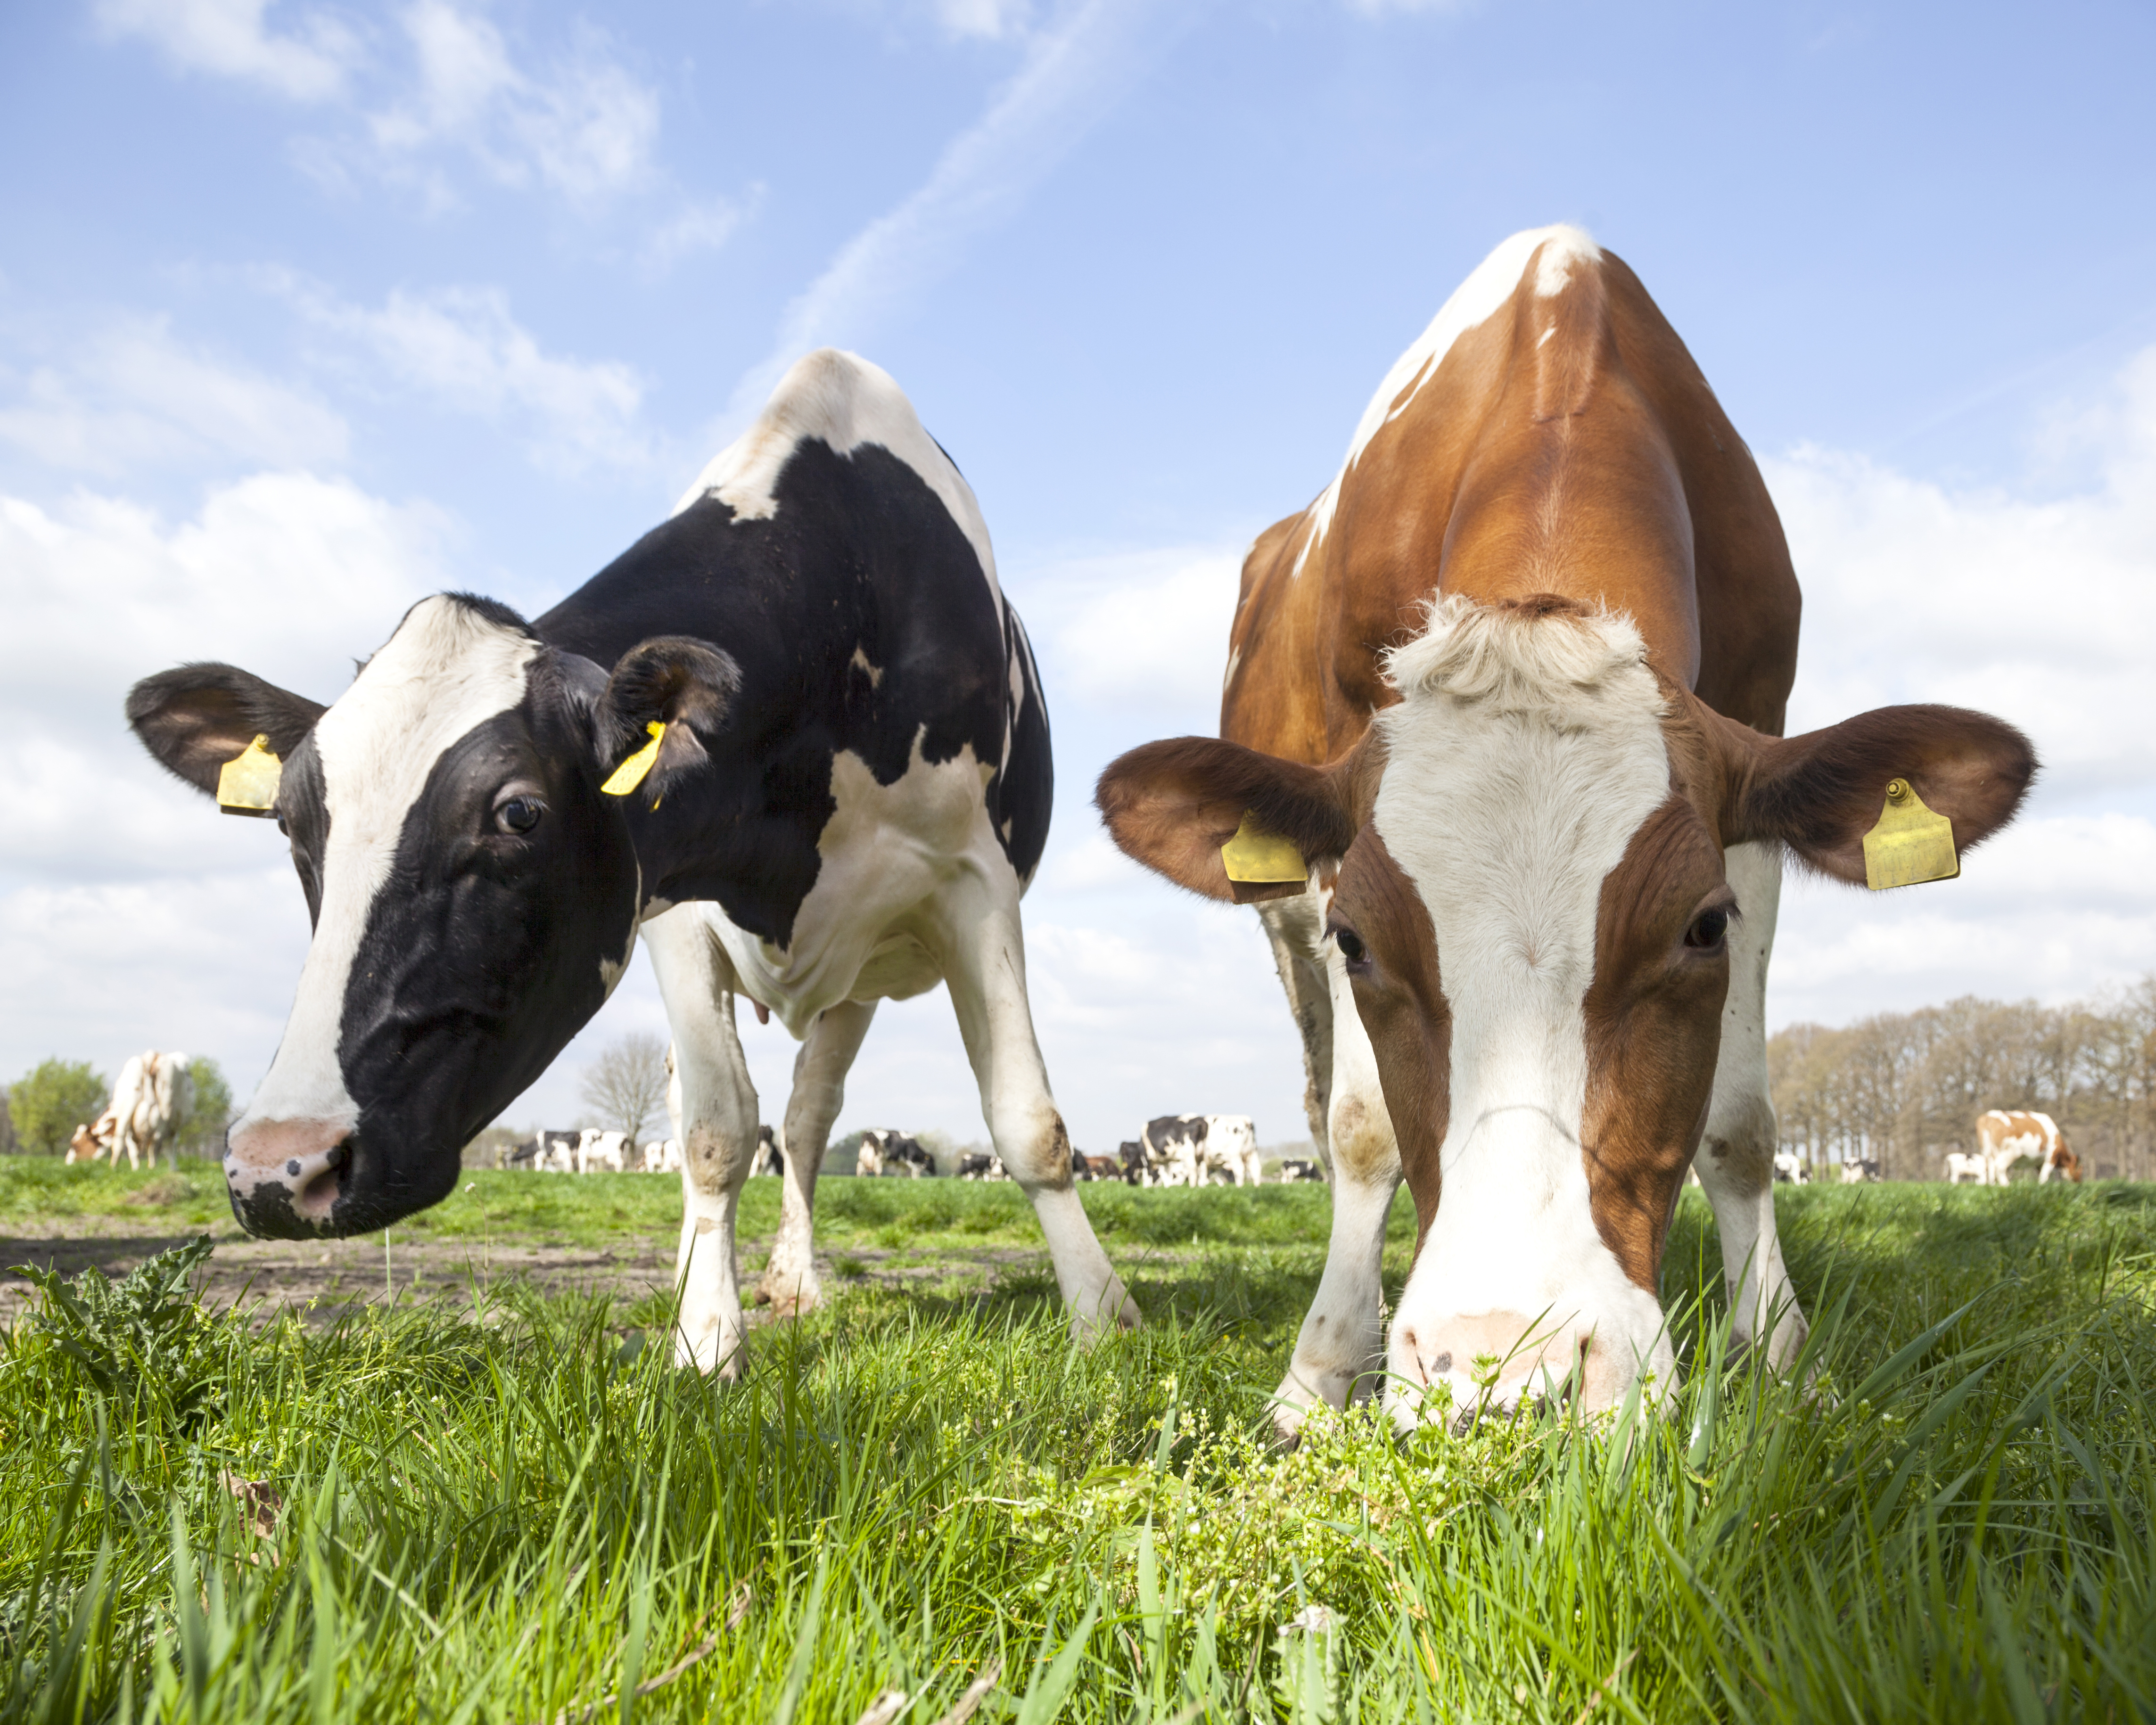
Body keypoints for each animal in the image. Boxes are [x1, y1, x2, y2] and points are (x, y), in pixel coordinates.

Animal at [125, 349, 1134, 1375]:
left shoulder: (975, 882)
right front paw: (706, 1338)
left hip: (859, 972)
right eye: (293, 825)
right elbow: (715, 1131)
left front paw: (1101, 1318)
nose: (277, 1168)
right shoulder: (674, 910)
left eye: (518, 812)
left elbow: (1029, 1123)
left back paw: (797, 1279)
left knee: (809, 1117)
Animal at [1096, 225, 2033, 1434]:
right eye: (1360, 940)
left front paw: (1781, 1356)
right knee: (1324, 1101)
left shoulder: (1755, 794)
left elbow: (1742, 1121)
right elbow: (1360, 1129)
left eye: (1701, 928)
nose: (1505, 1367)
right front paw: (1319, 1375)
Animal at [1977, 1109, 2079, 1184]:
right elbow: (2044, 1177)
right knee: (1999, 1167)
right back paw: (2007, 1185)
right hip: (2012, 1152)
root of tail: (1989, 1117)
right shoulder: (2051, 1158)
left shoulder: (2039, 1163)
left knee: (1991, 1170)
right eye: (2079, 1169)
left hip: (1989, 1153)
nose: (2079, 1182)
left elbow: (2042, 1175)